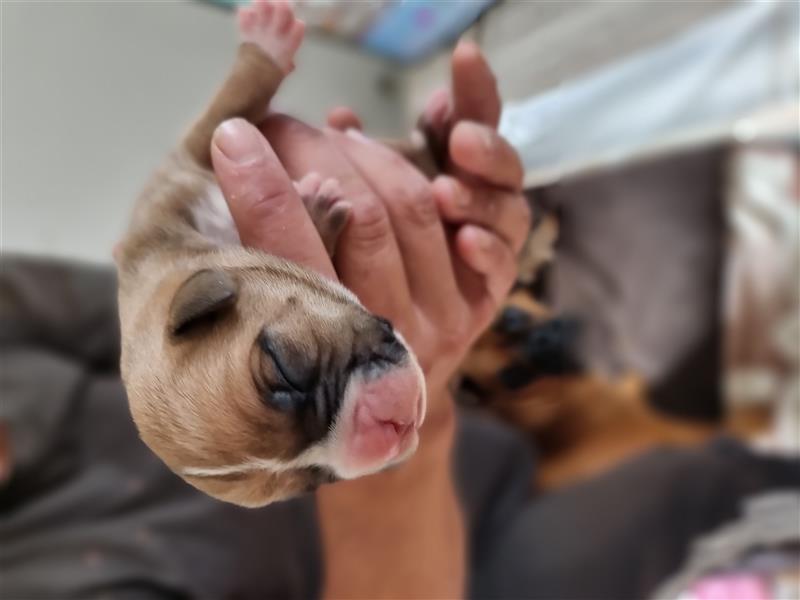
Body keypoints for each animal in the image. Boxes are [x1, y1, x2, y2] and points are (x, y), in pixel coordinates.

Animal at [115, 0, 424, 506]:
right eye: (311, 481)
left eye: (283, 368)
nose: (392, 428)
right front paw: (318, 211)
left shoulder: (178, 173)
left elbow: (232, 100)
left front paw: (266, 40)